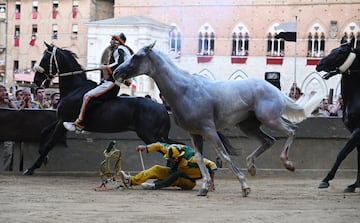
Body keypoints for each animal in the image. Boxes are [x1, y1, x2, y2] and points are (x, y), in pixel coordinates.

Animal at [22, 41, 179, 174]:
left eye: (45, 58)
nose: (36, 80)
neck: (74, 88)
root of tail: (162, 108)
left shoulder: (62, 122)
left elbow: (49, 144)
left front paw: (31, 168)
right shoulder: (62, 120)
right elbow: (43, 132)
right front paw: (42, 157)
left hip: (149, 135)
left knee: (168, 148)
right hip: (157, 135)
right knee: (174, 145)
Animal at [113, 42, 320, 197]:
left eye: (137, 56)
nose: (116, 73)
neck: (185, 91)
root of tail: (274, 89)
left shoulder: (209, 130)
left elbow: (224, 155)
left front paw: (245, 187)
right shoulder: (195, 133)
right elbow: (199, 157)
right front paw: (204, 188)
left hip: (271, 119)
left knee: (292, 130)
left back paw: (288, 164)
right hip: (249, 126)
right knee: (269, 140)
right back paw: (252, 167)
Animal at [316, 41, 358, 192]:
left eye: (341, 52)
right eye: (333, 49)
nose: (319, 64)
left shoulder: (358, 132)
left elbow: (342, 153)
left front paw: (326, 180)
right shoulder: (354, 133)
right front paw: (354, 185)